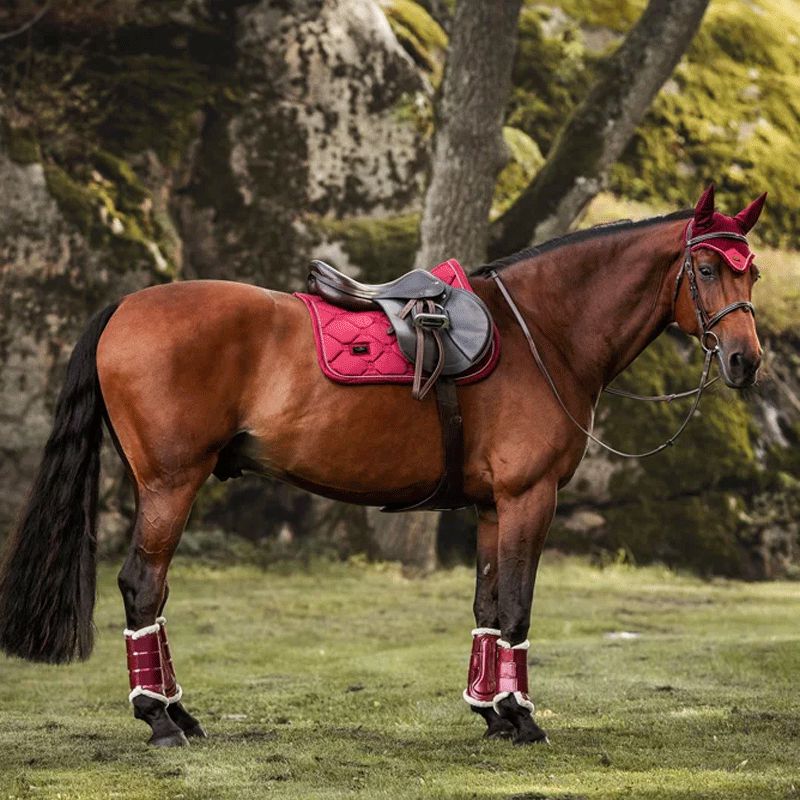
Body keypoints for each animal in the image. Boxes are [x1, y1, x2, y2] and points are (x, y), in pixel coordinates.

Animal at [0, 184, 764, 748]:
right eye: (705, 269)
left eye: (750, 270)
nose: (745, 361)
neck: (541, 333)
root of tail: (125, 305)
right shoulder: (529, 497)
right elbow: (517, 608)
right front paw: (521, 716)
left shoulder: (493, 506)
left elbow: (488, 607)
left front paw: (490, 710)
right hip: (170, 484)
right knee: (142, 587)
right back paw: (159, 718)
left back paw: (177, 711)